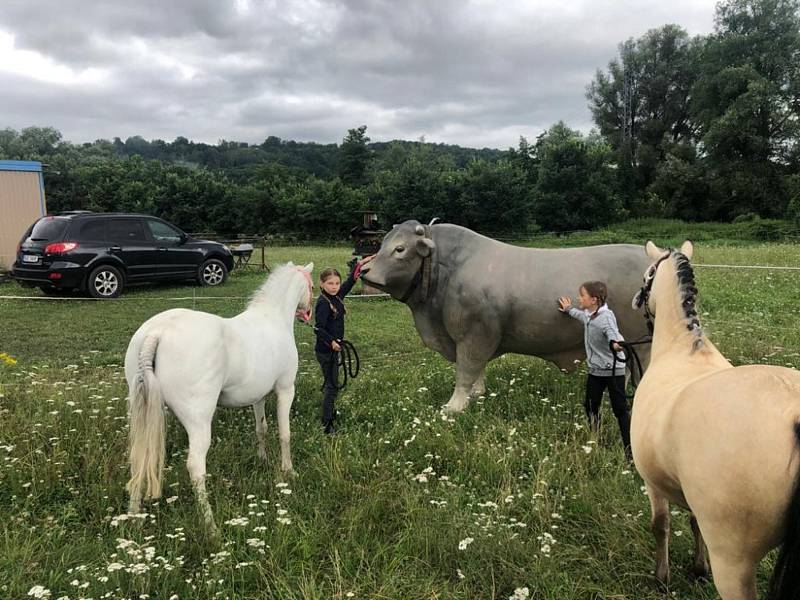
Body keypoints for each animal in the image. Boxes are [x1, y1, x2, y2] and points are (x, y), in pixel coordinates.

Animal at [123, 262, 314, 528]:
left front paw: (263, 459)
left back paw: (134, 517)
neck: (271, 319)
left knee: (138, 456)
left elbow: (262, 429)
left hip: (144, 415)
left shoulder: (258, 397)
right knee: (195, 466)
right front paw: (288, 470)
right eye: (312, 286)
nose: (308, 312)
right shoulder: (286, 390)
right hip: (198, 421)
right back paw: (210, 525)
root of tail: (157, 333)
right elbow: (285, 433)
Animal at [360, 220, 652, 412]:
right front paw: (477, 395)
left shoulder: (474, 334)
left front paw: (454, 407)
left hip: (641, 341)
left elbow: (466, 369)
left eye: (400, 249)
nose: (364, 271)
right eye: (382, 244)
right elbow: (476, 370)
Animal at [632, 243, 800, 600]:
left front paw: (662, 577)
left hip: (734, 565)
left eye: (647, 274)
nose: (637, 300)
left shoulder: (652, 483)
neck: (683, 351)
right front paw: (698, 569)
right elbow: (694, 523)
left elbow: (660, 526)